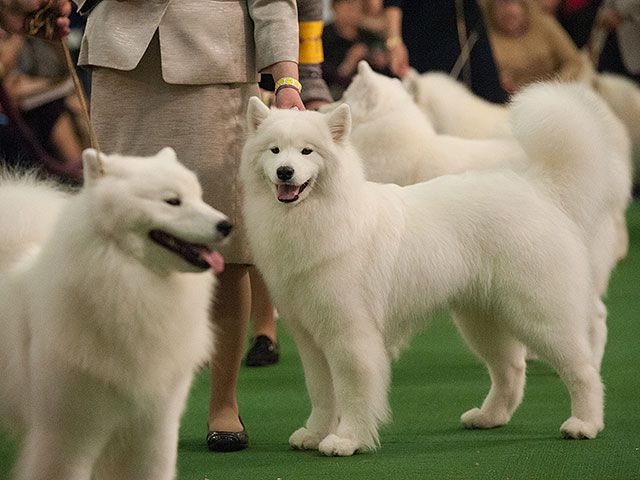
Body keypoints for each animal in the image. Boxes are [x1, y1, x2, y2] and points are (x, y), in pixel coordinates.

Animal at [239, 83, 620, 458]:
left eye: (307, 152)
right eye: (275, 150)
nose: (285, 172)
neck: (319, 215)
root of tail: (539, 189)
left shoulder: (349, 336)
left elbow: (353, 392)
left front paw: (347, 440)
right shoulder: (310, 338)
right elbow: (321, 393)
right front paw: (315, 434)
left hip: (539, 315)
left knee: (582, 369)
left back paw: (584, 424)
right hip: (482, 320)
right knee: (511, 371)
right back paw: (488, 417)